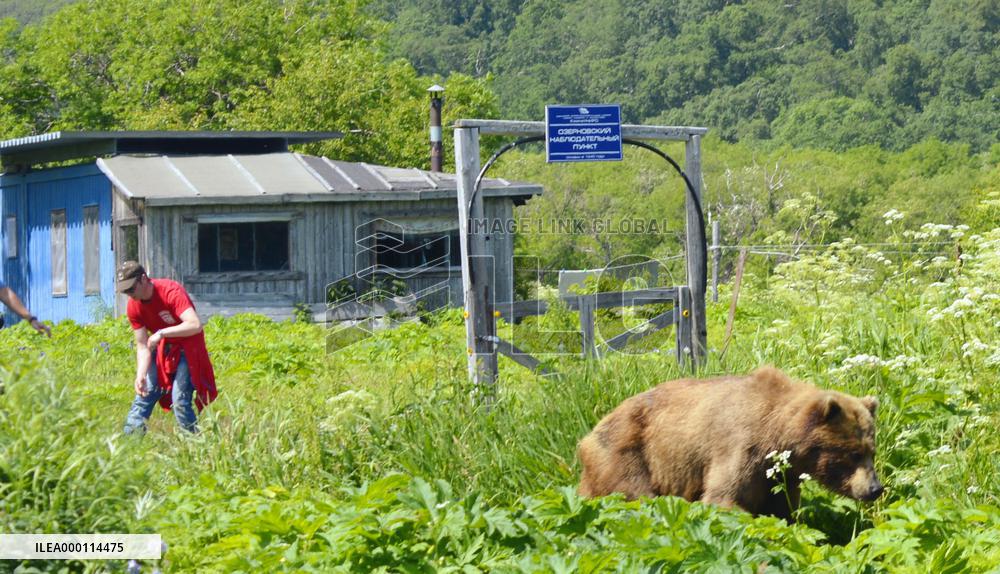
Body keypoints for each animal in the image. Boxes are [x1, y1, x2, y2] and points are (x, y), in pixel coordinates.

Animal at [577, 366, 882, 518]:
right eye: (853, 453)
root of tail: (588, 435)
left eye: (872, 451)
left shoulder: (780, 474)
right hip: (626, 452)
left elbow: (782, 506)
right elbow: (725, 496)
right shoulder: (741, 445)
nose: (874, 489)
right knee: (635, 494)